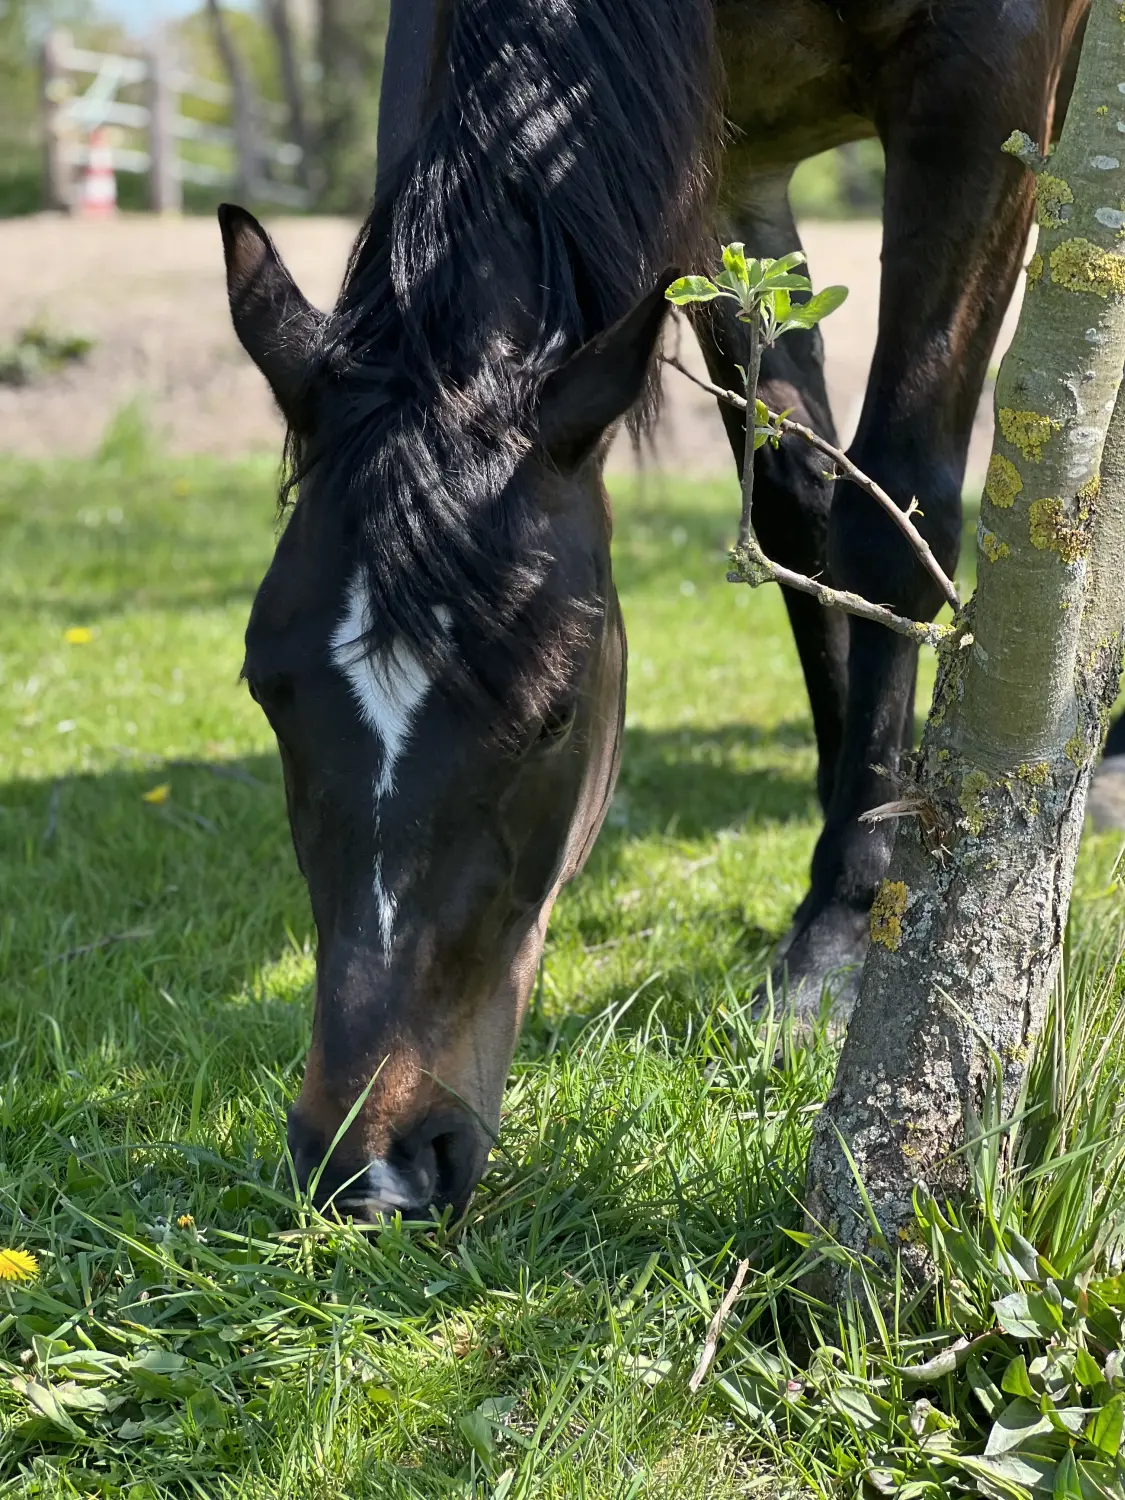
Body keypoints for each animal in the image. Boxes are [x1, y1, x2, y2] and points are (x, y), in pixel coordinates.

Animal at [220, 0, 1092, 1218]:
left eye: (553, 718)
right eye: (266, 690)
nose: (373, 1167)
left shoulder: (985, 84)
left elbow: (889, 504)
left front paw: (839, 933)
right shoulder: (732, 169)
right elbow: (793, 499)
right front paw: (846, 832)